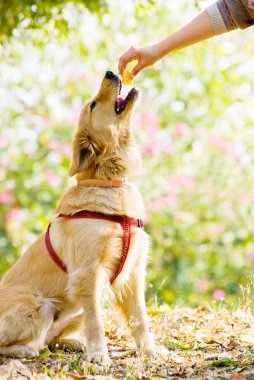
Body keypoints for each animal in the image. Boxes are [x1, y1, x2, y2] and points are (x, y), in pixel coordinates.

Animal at [0, 71, 165, 366]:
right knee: (26, 344)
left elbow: (140, 318)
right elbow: (96, 322)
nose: (111, 72)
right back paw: (27, 350)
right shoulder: (88, 275)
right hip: (40, 305)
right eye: (93, 105)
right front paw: (99, 354)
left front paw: (149, 350)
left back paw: (71, 343)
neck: (108, 183)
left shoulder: (133, 274)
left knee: (50, 340)